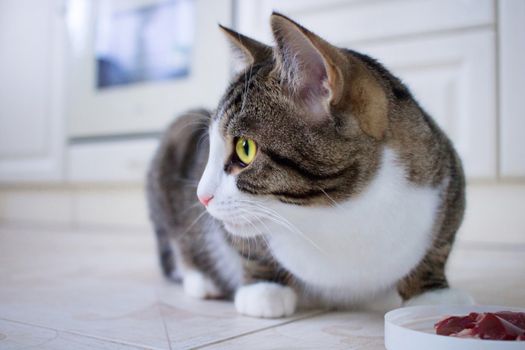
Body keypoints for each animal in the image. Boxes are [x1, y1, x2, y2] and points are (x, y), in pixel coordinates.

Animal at [145, 12, 472, 318]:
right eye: (210, 147)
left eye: (245, 149)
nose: (201, 196)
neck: (339, 209)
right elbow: (247, 245)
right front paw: (264, 289)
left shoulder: (448, 176)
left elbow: (439, 245)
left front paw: (431, 295)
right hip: (177, 134)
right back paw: (202, 280)